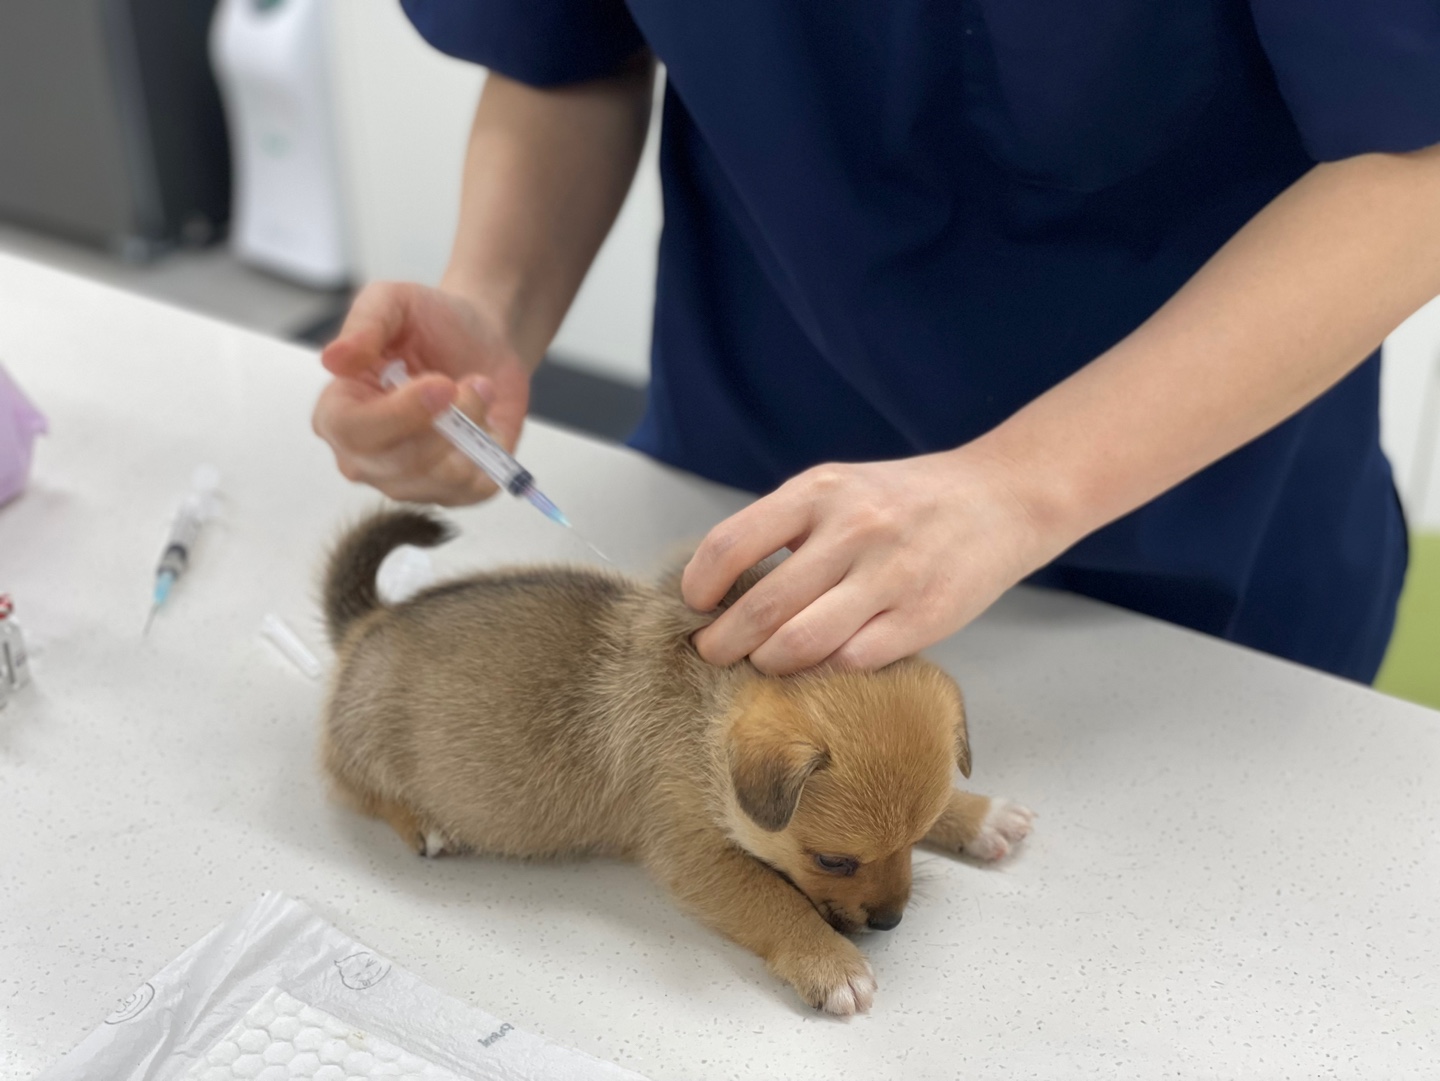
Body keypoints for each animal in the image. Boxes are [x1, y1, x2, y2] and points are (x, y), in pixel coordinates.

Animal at [321, 506, 1031, 1013]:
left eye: (917, 836)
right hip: (365, 747)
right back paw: (426, 824)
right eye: (833, 861)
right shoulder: (695, 855)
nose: (890, 923)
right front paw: (831, 964)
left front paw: (977, 814)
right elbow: (775, 900)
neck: (702, 717)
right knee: (348, 782)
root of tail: (367, 627)